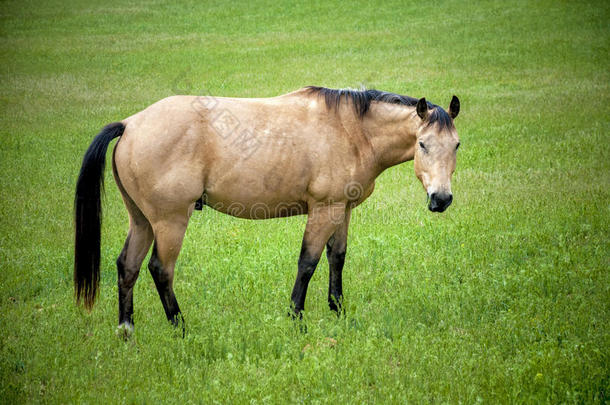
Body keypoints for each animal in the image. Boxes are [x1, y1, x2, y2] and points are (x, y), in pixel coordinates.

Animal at [73, 87, 458, 336]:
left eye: (456, 144)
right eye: (422, 144)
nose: (440, 199)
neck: (351, 129)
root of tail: (130, 124)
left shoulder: (342, 210)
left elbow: (337, 258)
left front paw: (338, 311)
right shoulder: (324, 210)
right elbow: (308, 263)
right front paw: (297, 319)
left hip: (141, 220)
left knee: (128, 266)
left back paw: (126, 329)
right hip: (170, 221)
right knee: (160, 269)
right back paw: (181, 328)